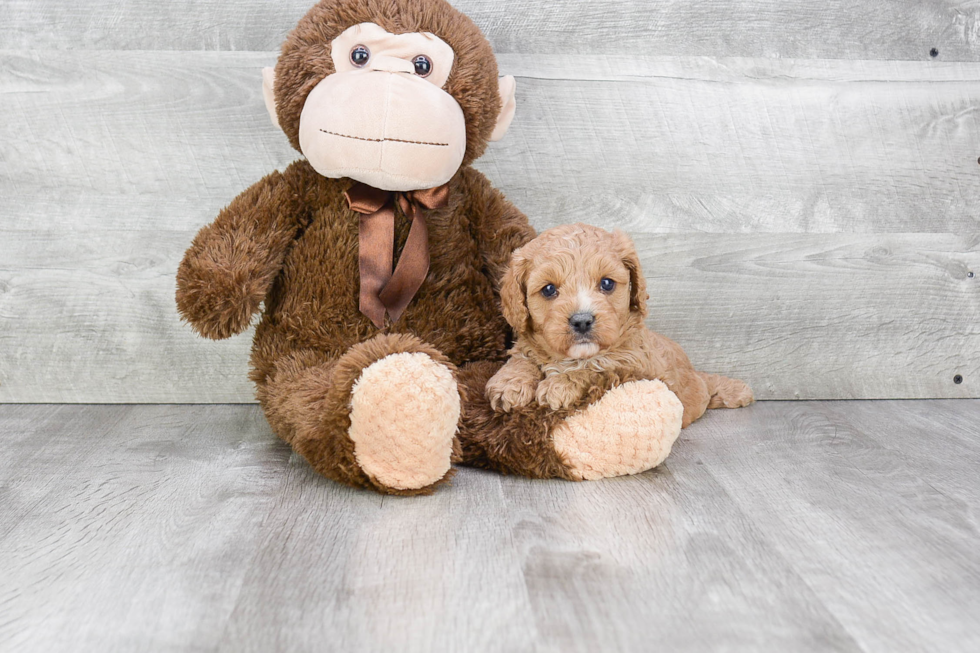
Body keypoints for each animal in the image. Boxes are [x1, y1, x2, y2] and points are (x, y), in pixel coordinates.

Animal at [486, 224, 756, 428]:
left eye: (607, 283)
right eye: (549, 289)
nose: (582, 320)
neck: (573, 357)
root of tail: (696, 372)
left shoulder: (636, 366)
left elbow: (597, 369)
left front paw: (559, 384)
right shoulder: (527, 346)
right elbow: (523, 358)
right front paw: (508, 384)